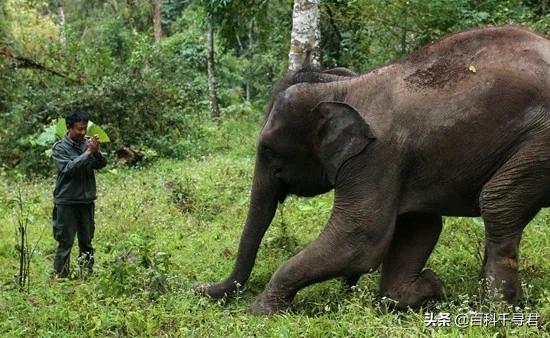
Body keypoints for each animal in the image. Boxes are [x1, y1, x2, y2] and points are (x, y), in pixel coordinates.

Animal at [197, 25, 550, 314]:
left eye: (268, 149)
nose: (196, 287)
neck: (345, 85)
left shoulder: (375, 155)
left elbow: (360, 237)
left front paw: (261, 310)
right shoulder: (402, 163)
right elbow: (419, 225)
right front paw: (430, 289)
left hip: (539, 142)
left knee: (496, 202)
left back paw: (495, 311)